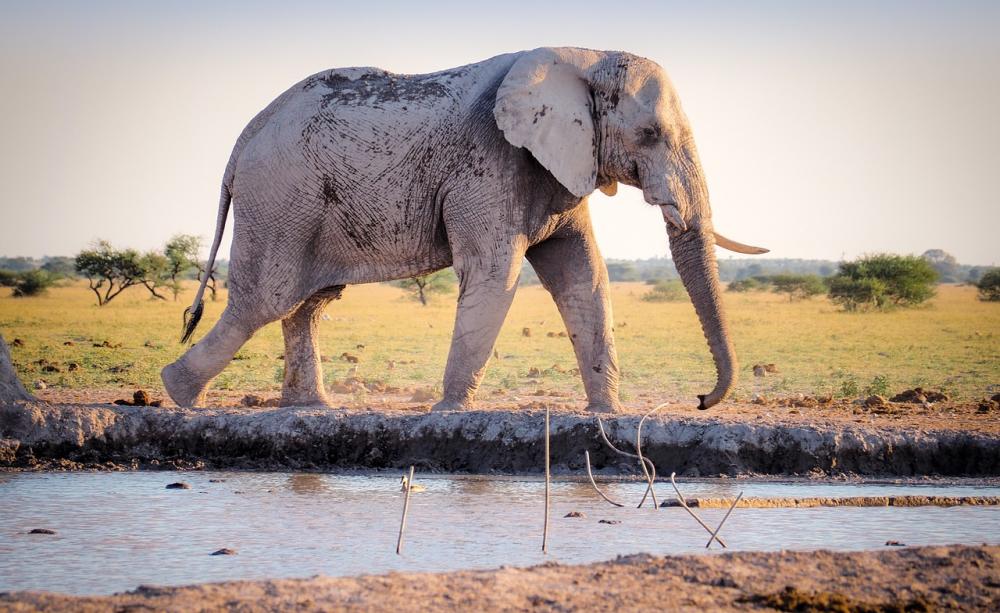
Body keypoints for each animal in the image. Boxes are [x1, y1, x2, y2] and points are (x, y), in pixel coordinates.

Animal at [162, 47, 767, 412]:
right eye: (649, 134)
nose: (701, 401)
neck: (583, 56)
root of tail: (245, 136)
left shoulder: (555, 166)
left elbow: (584, 276)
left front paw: (607, 414)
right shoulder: (490, 161)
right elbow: (494, 275)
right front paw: (448, 412)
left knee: (307, 302)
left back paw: (311, 408)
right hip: (281, 197)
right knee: (265, 299)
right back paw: (179, 394)